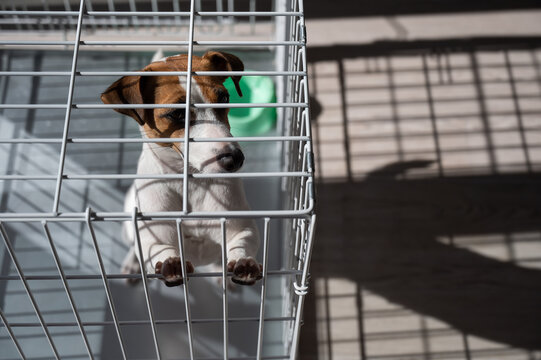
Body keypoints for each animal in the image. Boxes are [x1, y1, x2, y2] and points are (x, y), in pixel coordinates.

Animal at [102, 50, 262, 286]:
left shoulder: (241, 226)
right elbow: (159, 250)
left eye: (224, 98)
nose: (234, 158)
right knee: (135, 244)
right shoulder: (156, 236)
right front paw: (170, 263)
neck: (192, 184)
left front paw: (244, 263)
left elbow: (242, 242)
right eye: (177, 114)